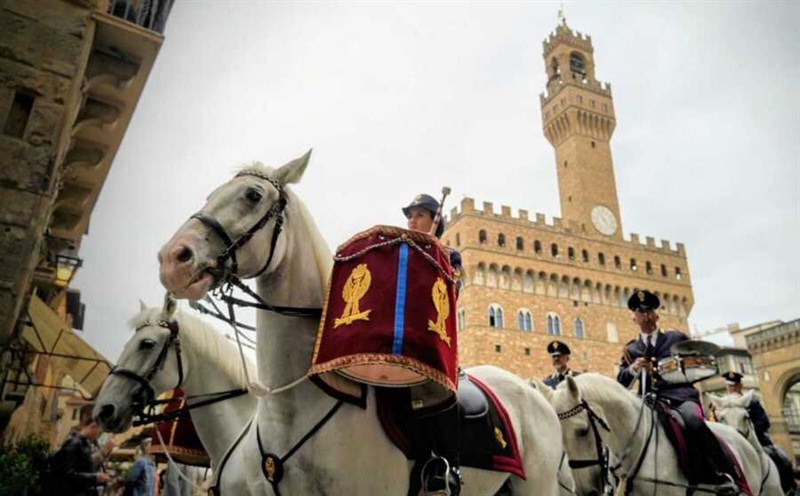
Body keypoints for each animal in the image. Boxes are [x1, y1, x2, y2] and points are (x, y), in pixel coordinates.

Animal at [156, 152, 564, 496]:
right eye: (211, 195)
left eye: (253, 195)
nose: (172, 258)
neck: (297, 405)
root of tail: (533, 394)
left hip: (537, 487)